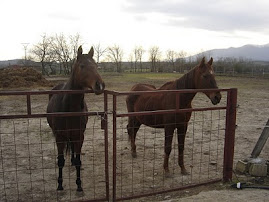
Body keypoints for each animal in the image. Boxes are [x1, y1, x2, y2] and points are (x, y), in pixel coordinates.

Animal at [46, 45, 104, 191]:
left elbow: (78, 160)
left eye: (96, 65)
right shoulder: (59, 137)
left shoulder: (79, 135)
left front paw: (79, 184)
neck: (69, 107)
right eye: (82, 66)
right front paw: (60, 184)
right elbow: (60, 161)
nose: (100, 85)